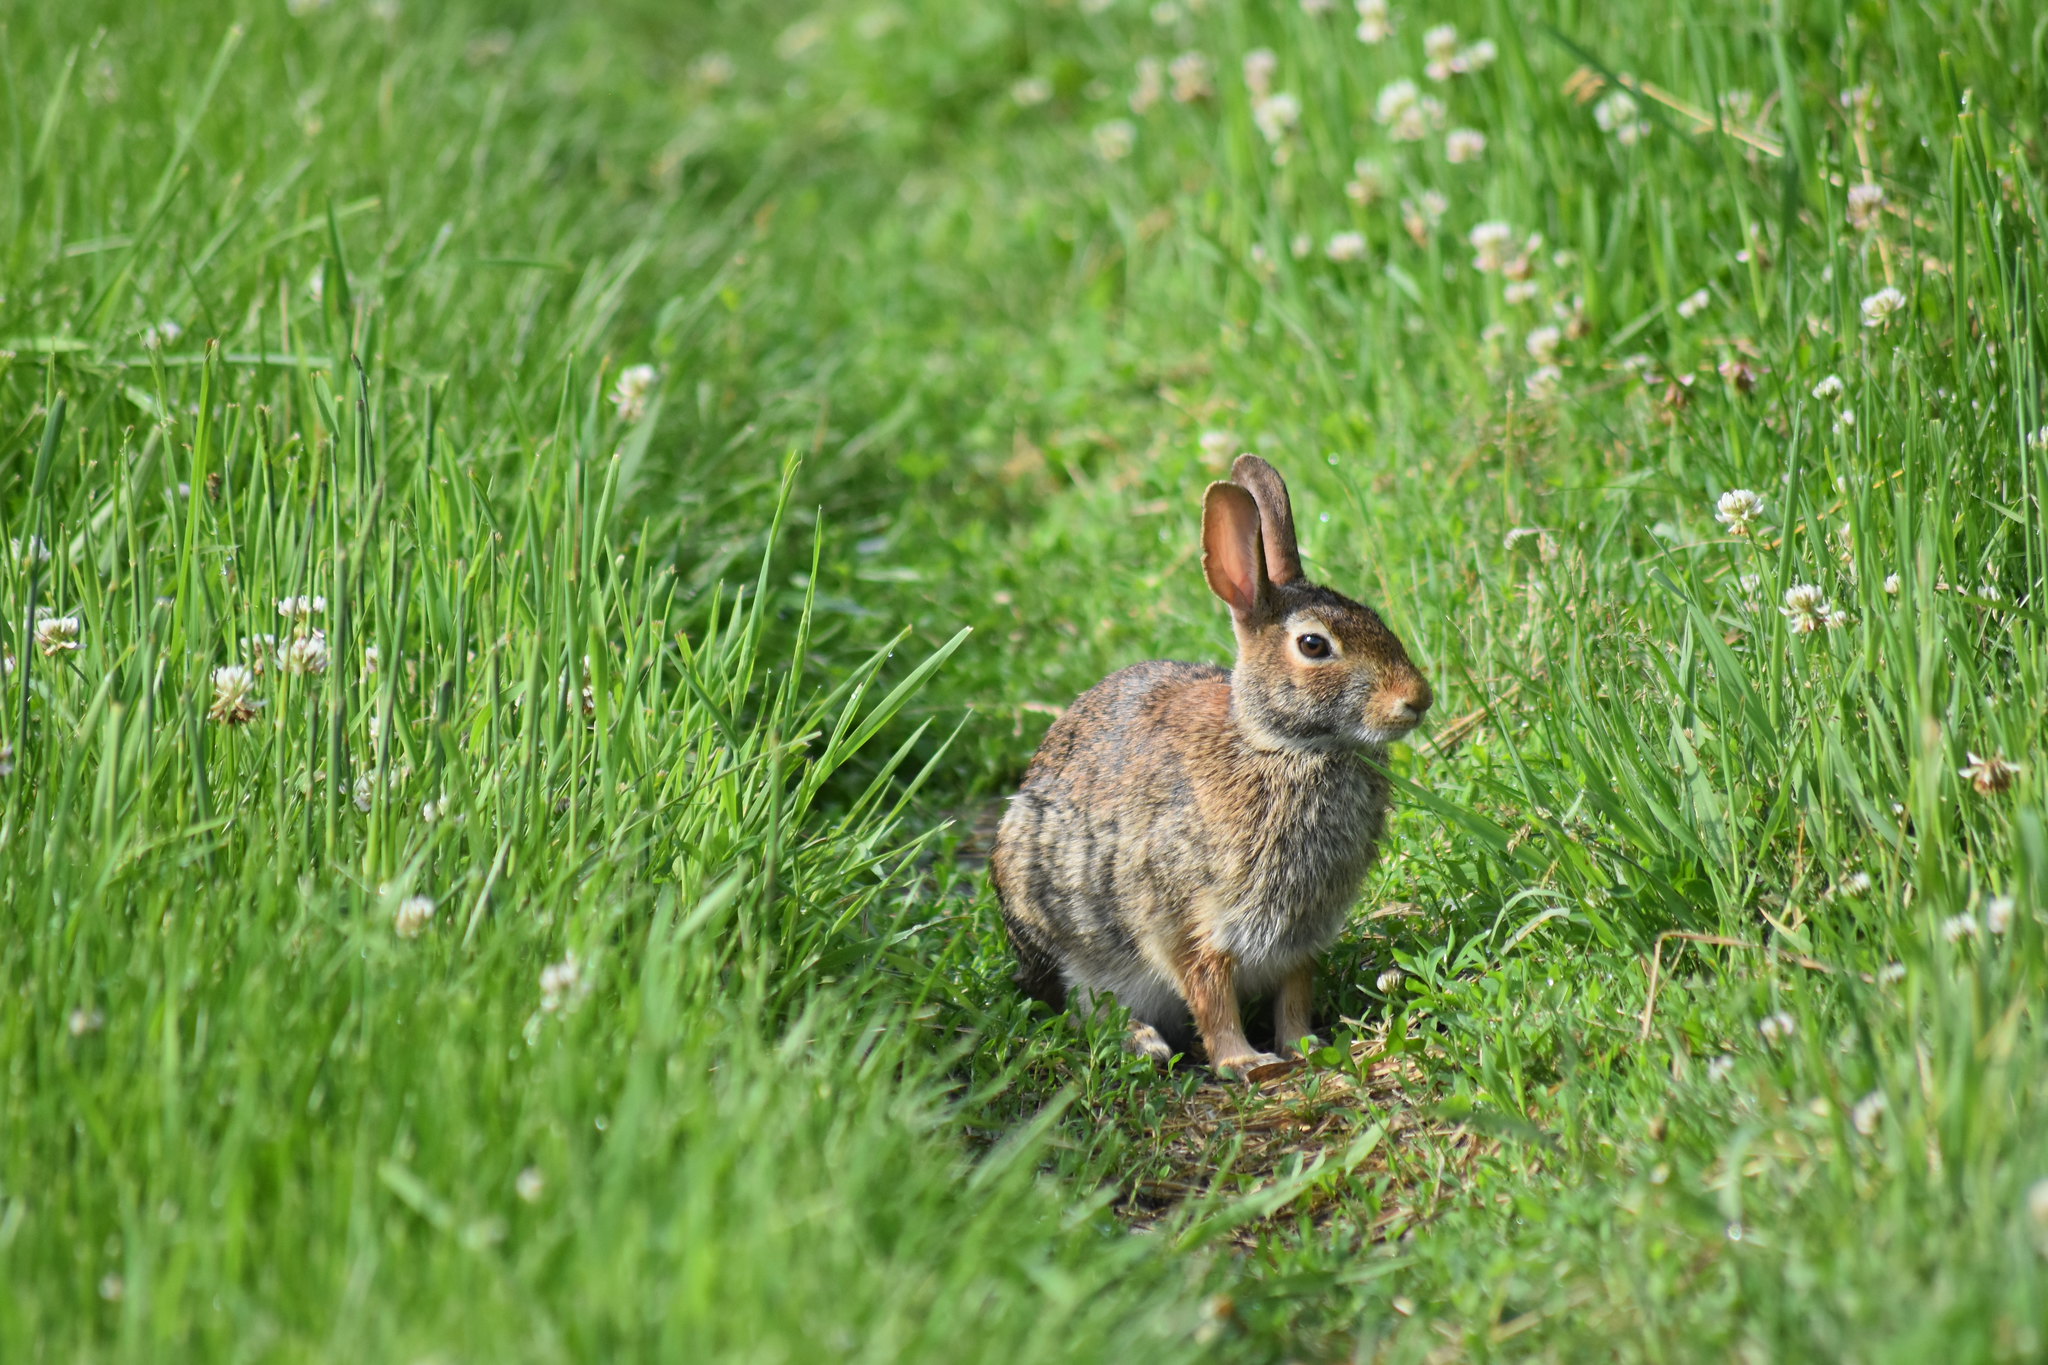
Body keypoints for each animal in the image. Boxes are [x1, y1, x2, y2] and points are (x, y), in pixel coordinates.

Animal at [987, 458, 1433, 1080]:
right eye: (1314, 645)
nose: (1418, 699)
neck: (1282, 747)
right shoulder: (1187, 917)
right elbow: (1209, 990)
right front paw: (1245, 1062)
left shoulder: (1301, 935)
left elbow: (1294, 992)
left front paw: (1303, 1046)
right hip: (1062, 940)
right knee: (1082, 1010)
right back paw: (1143, 1043)